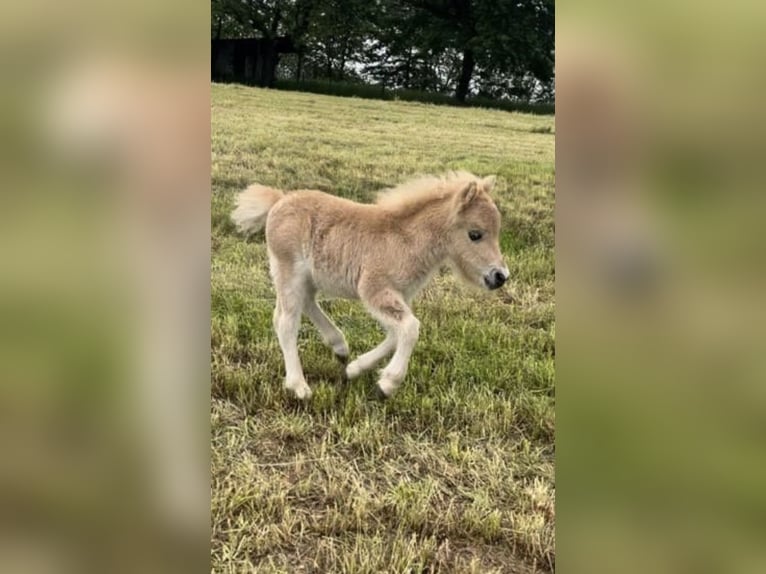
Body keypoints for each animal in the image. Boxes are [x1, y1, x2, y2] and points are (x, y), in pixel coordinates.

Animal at [232, 171, 510, 400]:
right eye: (475, 234)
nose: (500, 276)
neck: (406, 240)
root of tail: (279, 199)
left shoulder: (400, 295)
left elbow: (395, 334)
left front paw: (354, 370)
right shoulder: (373, 289)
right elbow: (410, 328)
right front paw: (386, 385)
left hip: (309, 276)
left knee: (306, 302)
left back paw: (340, 348)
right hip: (288, 269)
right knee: (286, 322)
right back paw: (299, 386)